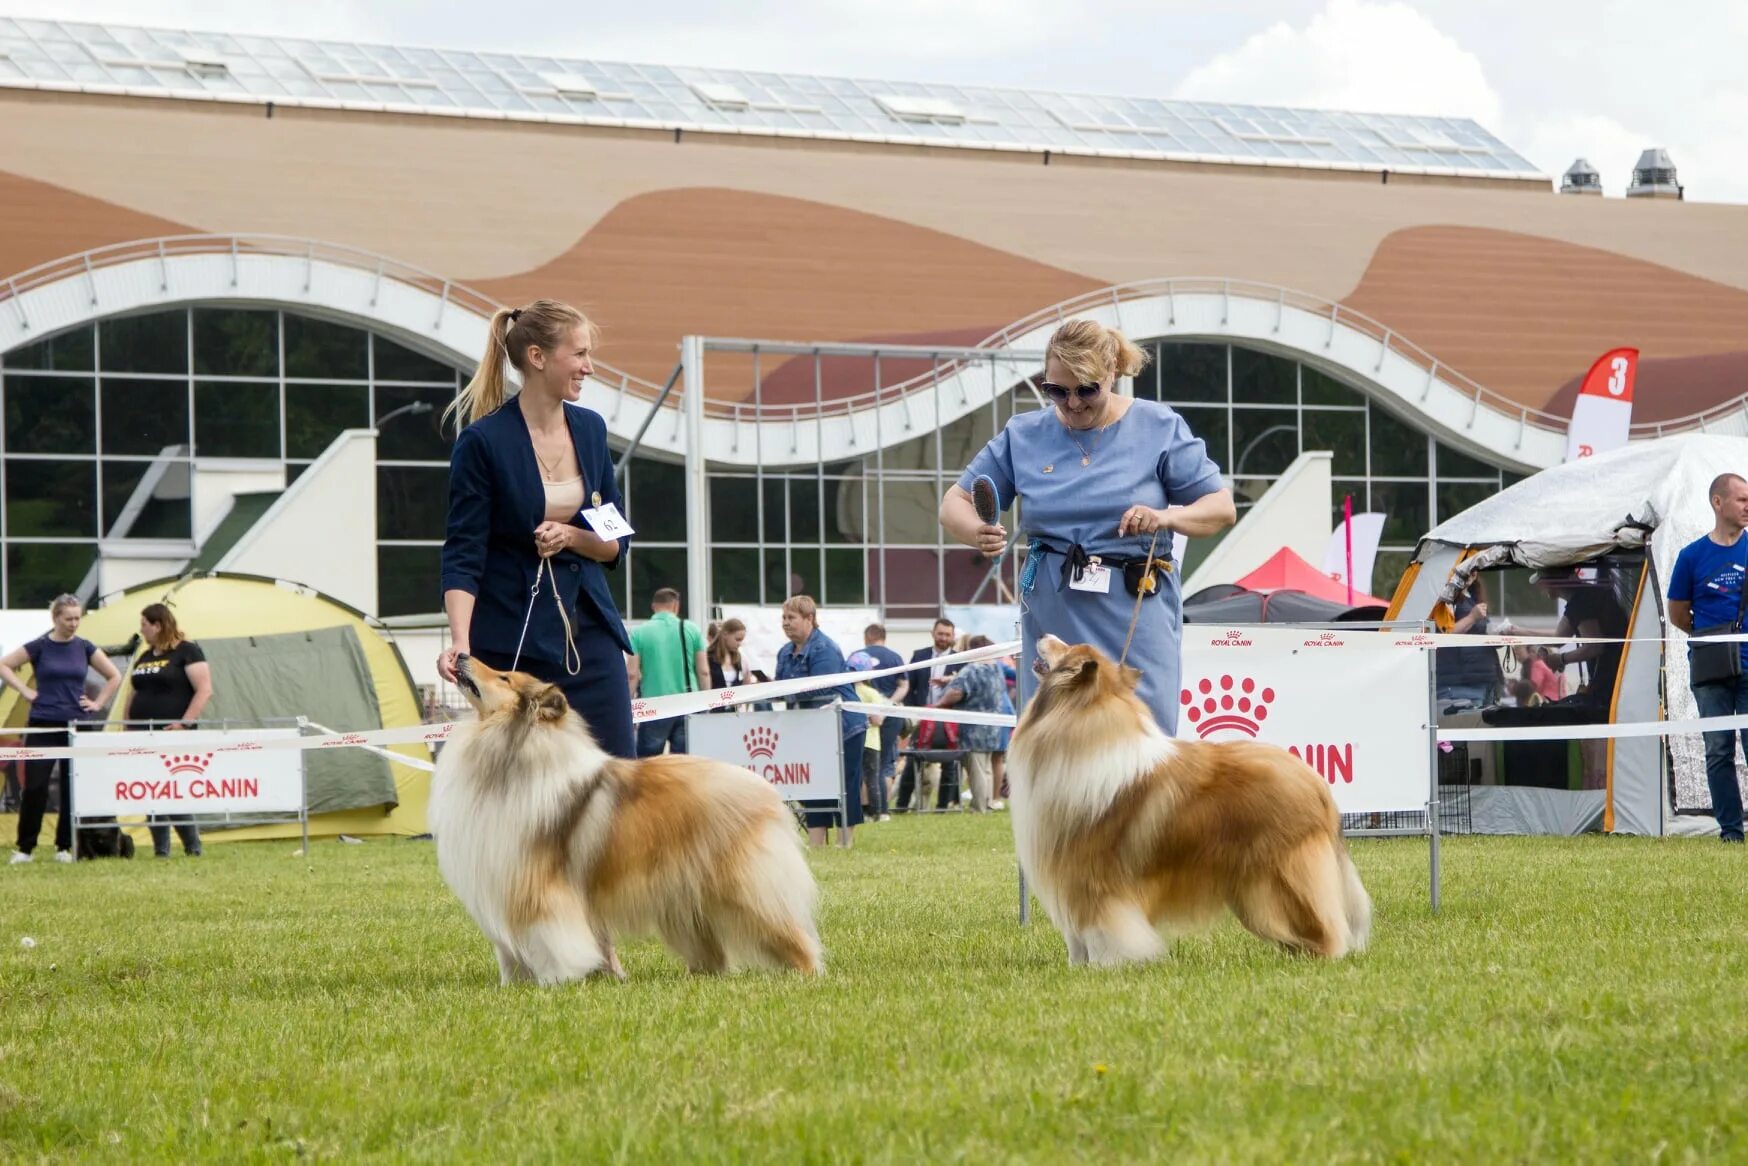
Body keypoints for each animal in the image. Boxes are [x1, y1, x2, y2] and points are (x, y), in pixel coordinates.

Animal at [430, 657, 825, 985]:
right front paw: (511, 985)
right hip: (686, 902)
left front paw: (555, 982)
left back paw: (808, 974)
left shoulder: (540, 887)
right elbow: (507, 949)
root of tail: (764, 790)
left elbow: (550, 939)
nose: (459, 656)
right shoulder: (503, 876)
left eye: (504, 677)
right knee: (714, 954)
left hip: (746, 891)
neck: (512, 750)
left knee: (792, 935)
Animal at [1013, 639, 1363, 964]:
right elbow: (1077, 940)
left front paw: (1106, 968)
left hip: (1278, 882)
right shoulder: (1071, 879)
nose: (1043, 636)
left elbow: (1100, 933)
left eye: (1065, 648)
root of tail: (1317, 784)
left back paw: (1325, 956)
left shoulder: (1092, 880)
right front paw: (1079, 969)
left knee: (1325, 924)